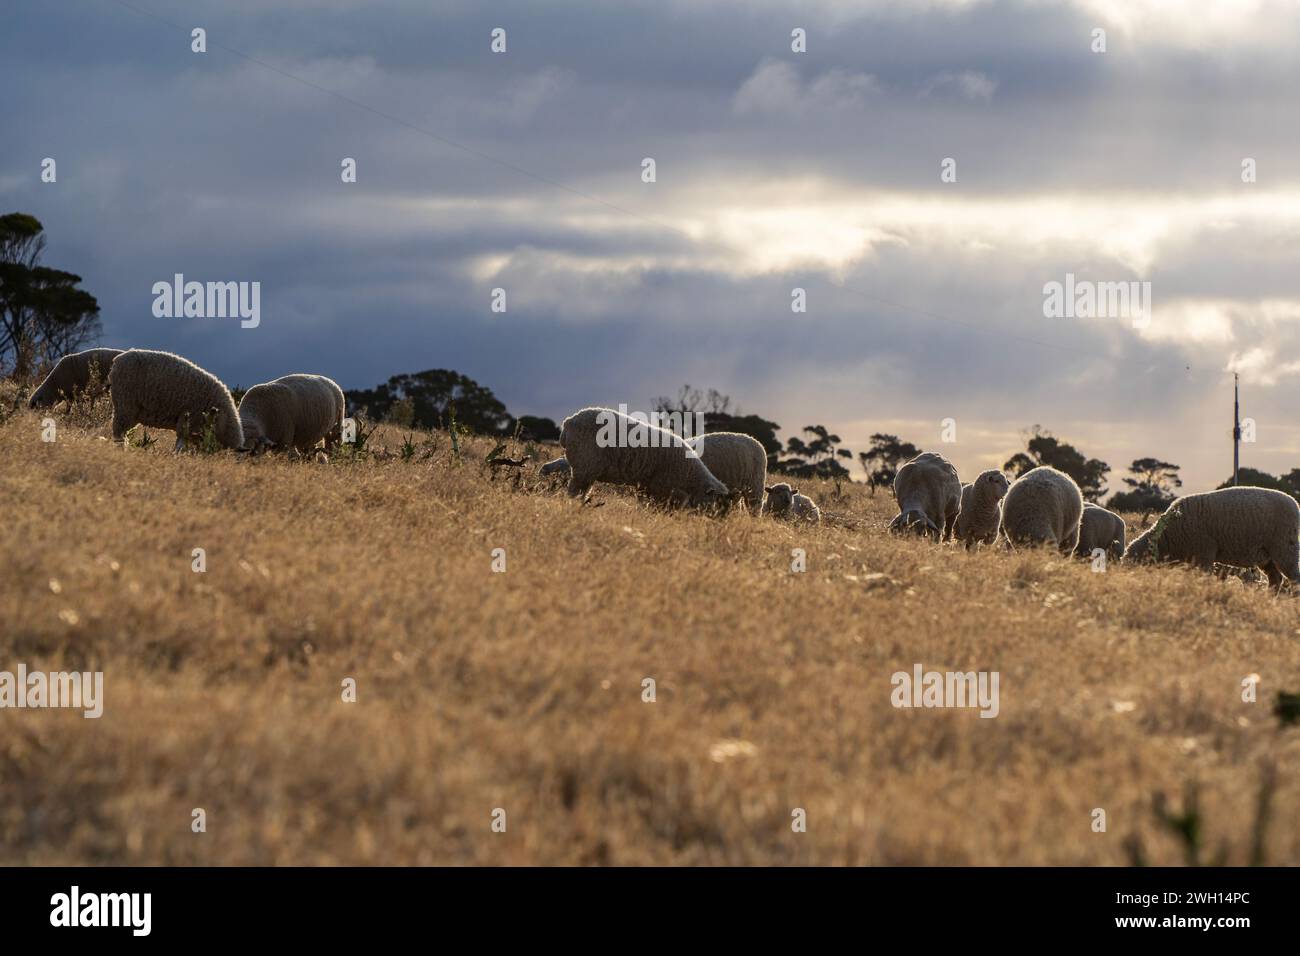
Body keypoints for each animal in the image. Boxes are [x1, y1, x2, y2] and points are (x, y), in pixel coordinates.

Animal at [106, 348, 244, 450]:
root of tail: (117, 360)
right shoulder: (188, 423)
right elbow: (180, 446)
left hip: (132, 411)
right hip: (125, 404)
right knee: (119, 433)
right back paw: (121, 449)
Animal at [553, 405, 728, 509]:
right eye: (711, 501)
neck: (689, 474)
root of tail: (568, 422)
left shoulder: (647, 486)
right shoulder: (661, 486)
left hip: (586, 469)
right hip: (585, 465)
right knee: (575, 491)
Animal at [1123, 489, 1294, 587]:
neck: (1167, 537)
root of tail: (1293, 502)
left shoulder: (1204, 554)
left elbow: (1203, 579)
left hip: (1285, 547)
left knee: (1293, 578)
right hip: (1266, 556)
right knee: (1276, 579)